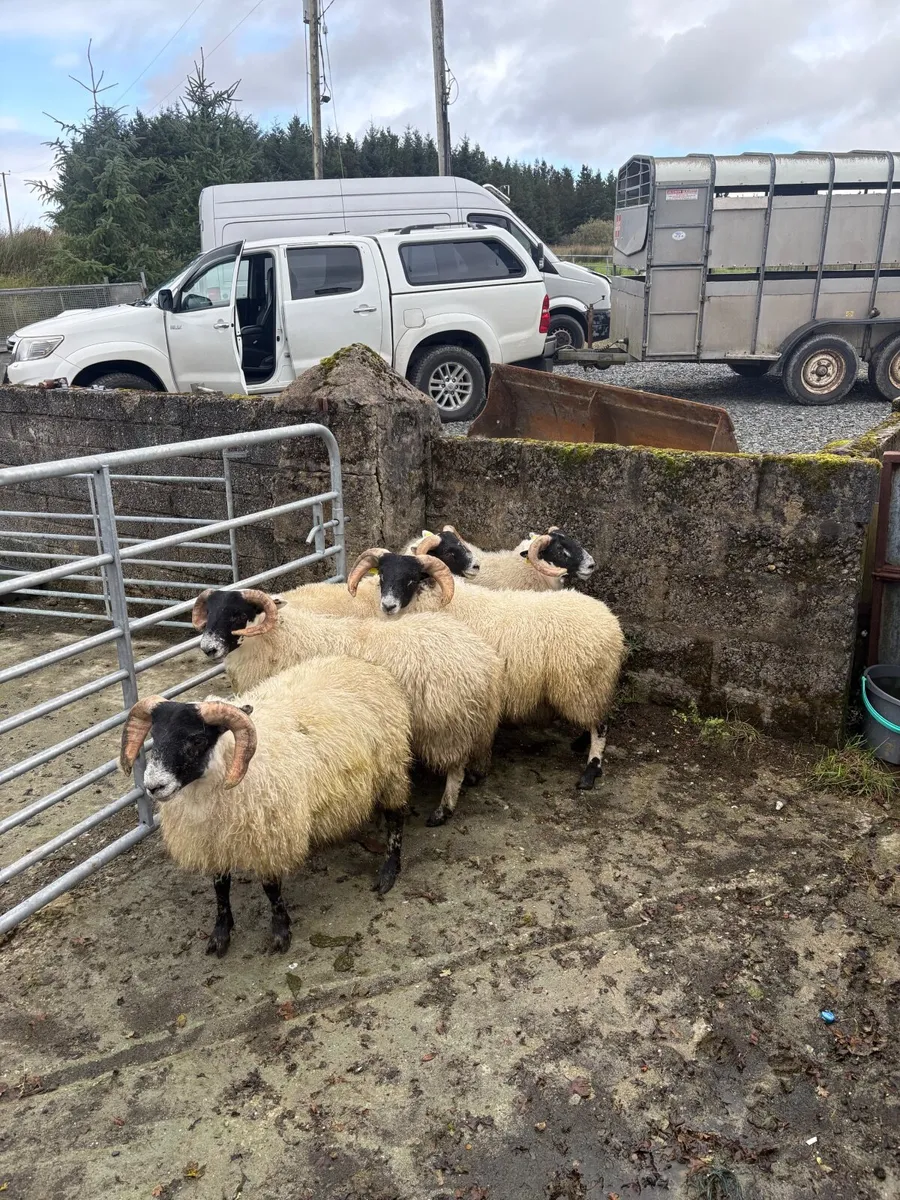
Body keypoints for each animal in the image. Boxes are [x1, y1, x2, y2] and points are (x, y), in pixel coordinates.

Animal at [119, 656, 412, 957]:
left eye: (197, 740)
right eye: (155, 737)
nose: (154, 786)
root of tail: (363, 664)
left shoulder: (269, 833)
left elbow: (271, 888)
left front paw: (281, 931)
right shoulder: (213, 840)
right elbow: (220, 888)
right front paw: (220, 933)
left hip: (391, 767)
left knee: (396, 817)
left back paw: (389, 871)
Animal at [191, 587, 504, 826]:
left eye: (238, 613)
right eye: (211, 613)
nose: (208, 648)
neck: (281, 640)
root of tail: (483, 657)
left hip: (447, 724)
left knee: (455, 766)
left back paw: (444, 809)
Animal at [348, 548, 625, 790]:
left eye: (412, 579)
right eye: (382, 576)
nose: (388, 605)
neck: (439, 602)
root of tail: (610, 620)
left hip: (584, 681)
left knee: (601, 726)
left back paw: (590, 771)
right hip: (590, 683)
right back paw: (580, 743)